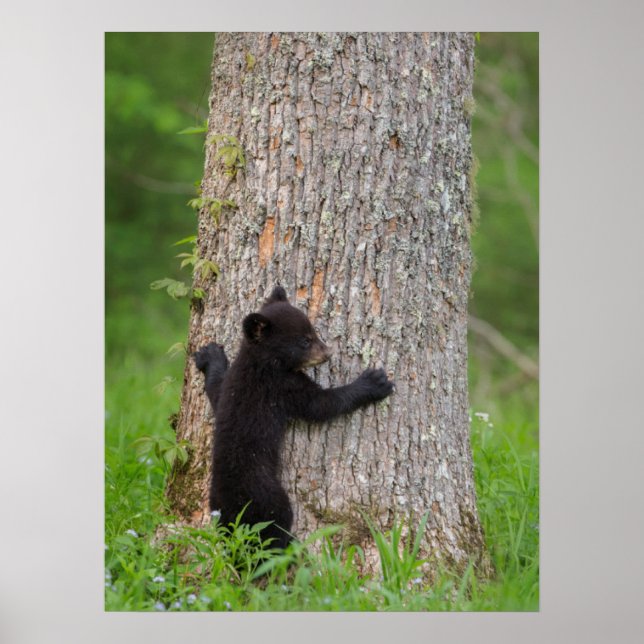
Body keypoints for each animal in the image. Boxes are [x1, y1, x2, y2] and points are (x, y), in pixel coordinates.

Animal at [193, 285, 394, 549]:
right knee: (273, 531)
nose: (328, 352)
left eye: (313, 332)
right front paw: (373, 382)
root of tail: (232, 513)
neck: (261, 361)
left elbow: (216, 390)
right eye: (305, 340)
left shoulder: (231, 386)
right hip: (269, 498)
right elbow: (321, 405)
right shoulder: (282, 387)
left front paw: (209, 355)